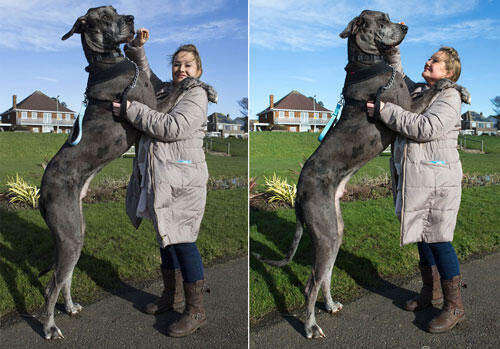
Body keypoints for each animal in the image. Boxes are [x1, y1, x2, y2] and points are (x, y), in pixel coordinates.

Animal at [252, 10, 466, 338]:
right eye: (382, 19)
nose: (405, 26)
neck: (367, 62)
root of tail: (298, 190)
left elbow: (428, 84)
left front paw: (461, 89)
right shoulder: (406, 107)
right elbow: (433, 86)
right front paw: (455, 86)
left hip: (335, 230)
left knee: (325, 275)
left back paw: (330, 306)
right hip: (326, 232)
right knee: (311, 283)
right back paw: (311, 326)